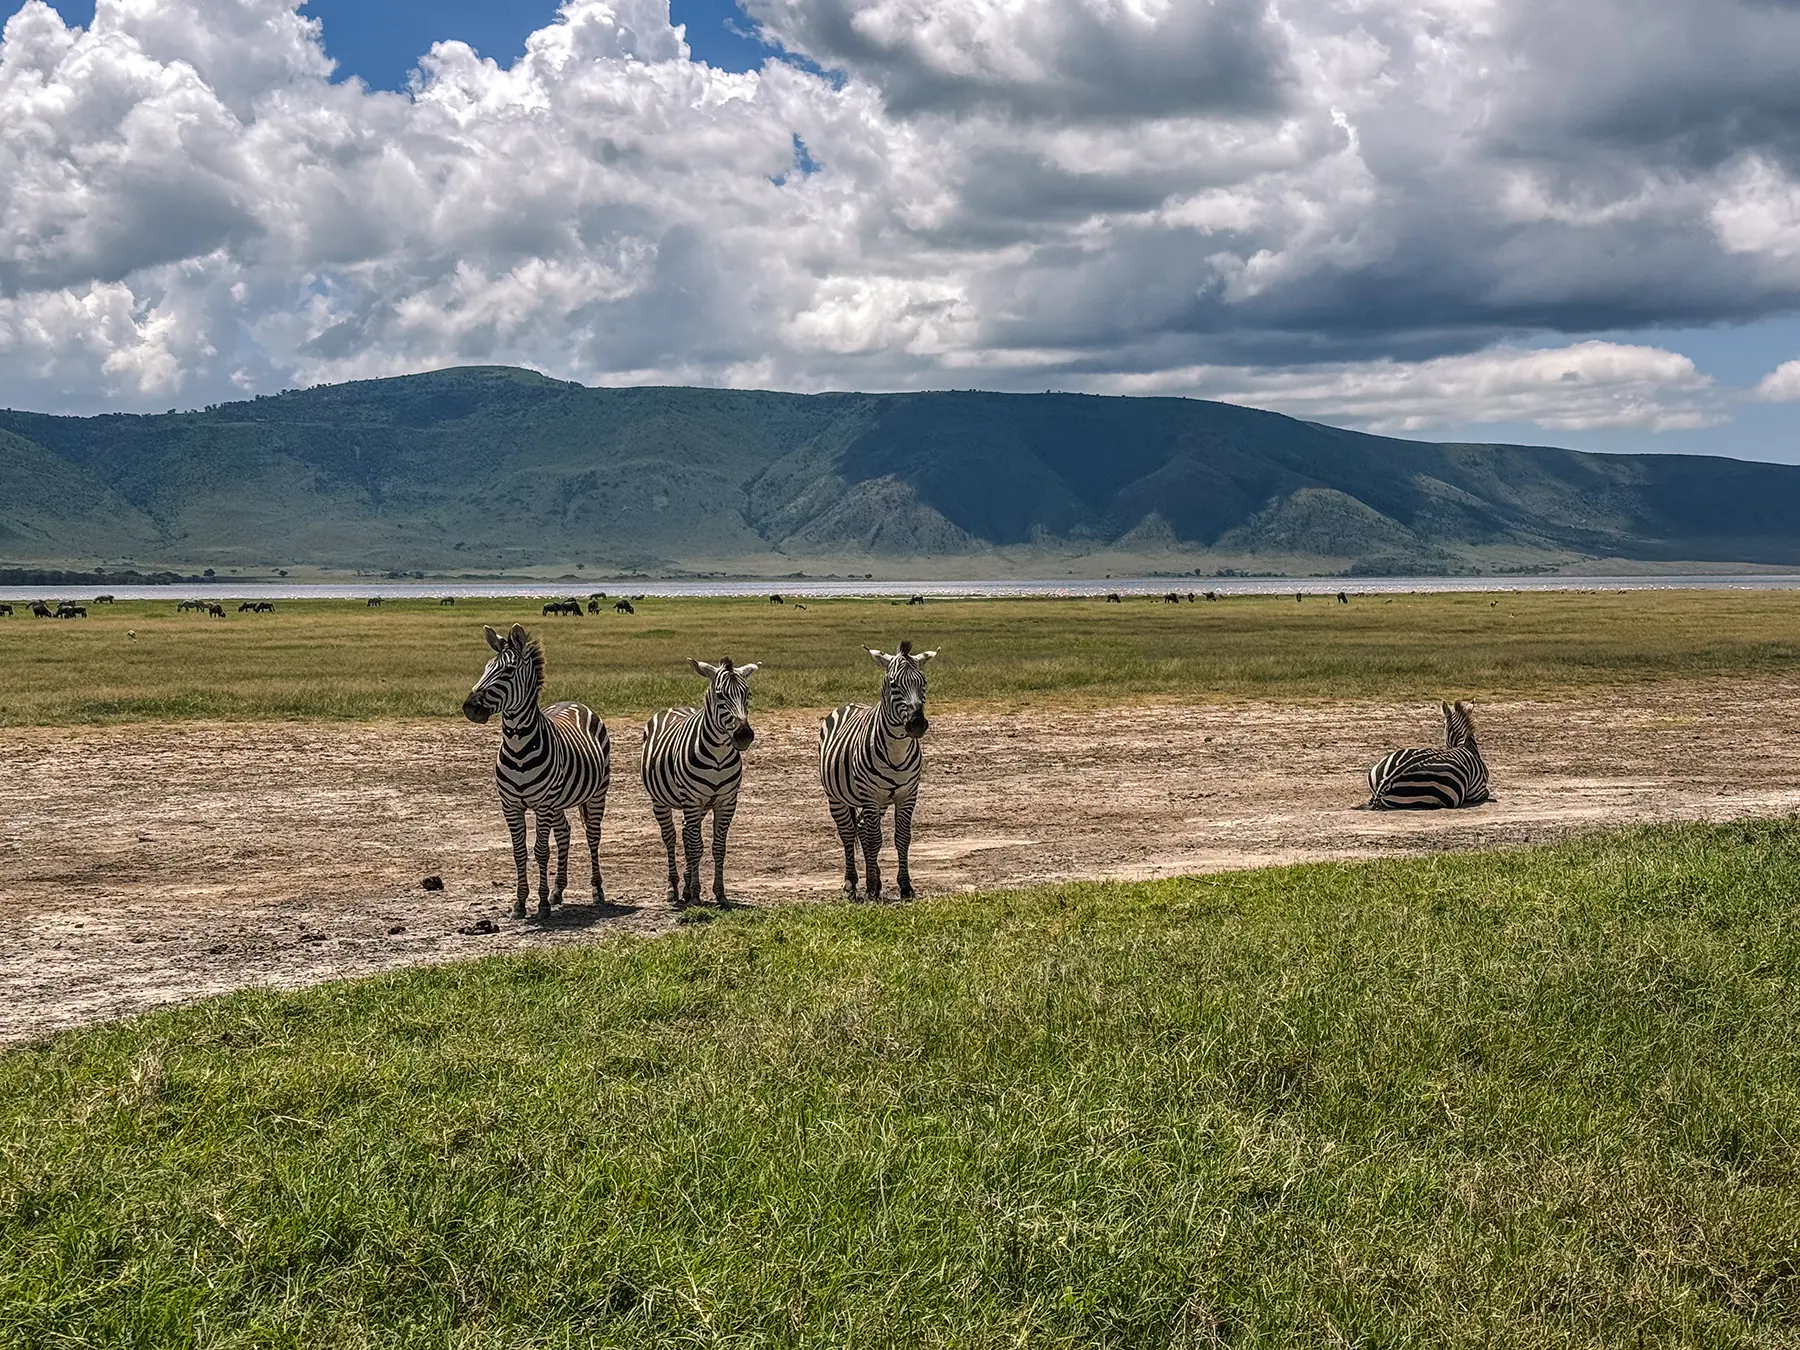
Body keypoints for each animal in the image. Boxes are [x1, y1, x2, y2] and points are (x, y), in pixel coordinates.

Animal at [462, 624, 612, 918]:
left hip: (596, 793)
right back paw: (558, 890)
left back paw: (597, 891)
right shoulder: (510, 805)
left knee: (593, 836)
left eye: (507, 671)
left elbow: (541, 851)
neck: (518, 746)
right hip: (558, 802)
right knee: (565, 832)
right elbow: (519, 852)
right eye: (486, 667)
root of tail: (575, 702)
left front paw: (541, 904)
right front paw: (520, 903)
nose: (470, 707)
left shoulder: (542, 804)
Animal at [640, 658, 760, 907]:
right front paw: (695, 894)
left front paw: (719, 893)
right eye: (720, 695)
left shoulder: (726, 802)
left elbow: (718, 847)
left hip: (700, 805)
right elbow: (696, 847)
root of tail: (673, 707)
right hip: (661, 800)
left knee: (686, 832)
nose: (744, 735)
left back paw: (685, 886)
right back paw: (674, 888)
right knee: (671, 837)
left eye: (748, 694)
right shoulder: (692, 800)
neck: (719, 755)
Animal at [819, 640, 937, 900]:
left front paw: (905, 886)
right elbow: (874, 839)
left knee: (862, 827)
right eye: (893, 684)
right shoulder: (870, 795)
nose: (916, 724)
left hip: (880, 801)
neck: (896, 750)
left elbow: (901, 838)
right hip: (837, 797)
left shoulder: (907, 795)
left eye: (923, 682)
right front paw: (872, 888)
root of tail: (850, 704)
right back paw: (851, 884)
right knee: (848, 833)